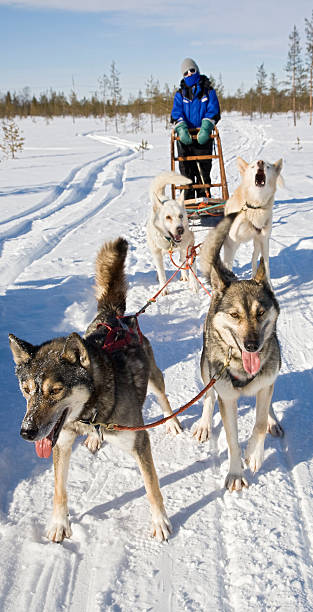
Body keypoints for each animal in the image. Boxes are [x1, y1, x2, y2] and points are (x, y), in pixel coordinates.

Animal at [9, 237, 180, 544]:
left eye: (55, 390)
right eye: (26, 389)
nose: (26, 432)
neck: (90, 413)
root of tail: (112, 316)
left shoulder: (139, 442)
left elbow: (152, 487)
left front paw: (160, 521)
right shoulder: (61, 443)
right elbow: (59, 489)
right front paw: (58, 523)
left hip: (154, 376)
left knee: (162, 396)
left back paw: (171, 421)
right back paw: (93, 439)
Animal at [193, 215, 282, 492]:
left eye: (260, 313)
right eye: (234, 315)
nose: (252, 345)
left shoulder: (266, 383)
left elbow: (260, 423)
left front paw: (254, 454)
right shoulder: (228, 398)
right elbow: (232, 440)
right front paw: (235, 473)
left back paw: (273, 419)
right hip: (206, 368)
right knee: (208, 396)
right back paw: (204, 423)